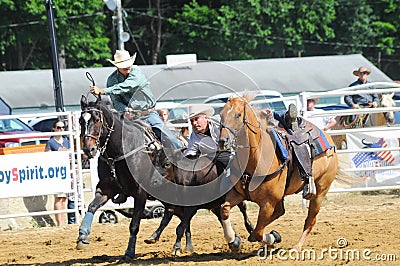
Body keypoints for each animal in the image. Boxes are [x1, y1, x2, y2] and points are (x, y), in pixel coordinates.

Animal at [217, 95, 340, 251]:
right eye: (221, 115)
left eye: (238, 115)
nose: (223, 141)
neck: (257, 158)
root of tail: (329, 139)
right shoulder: (238, 194)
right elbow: (224, 209)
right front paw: (233, 241)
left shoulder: (268, 203)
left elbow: (258, 233)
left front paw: (273, 237)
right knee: (280, 212)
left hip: (320, 191)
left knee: (310, 220)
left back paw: (297, 246)